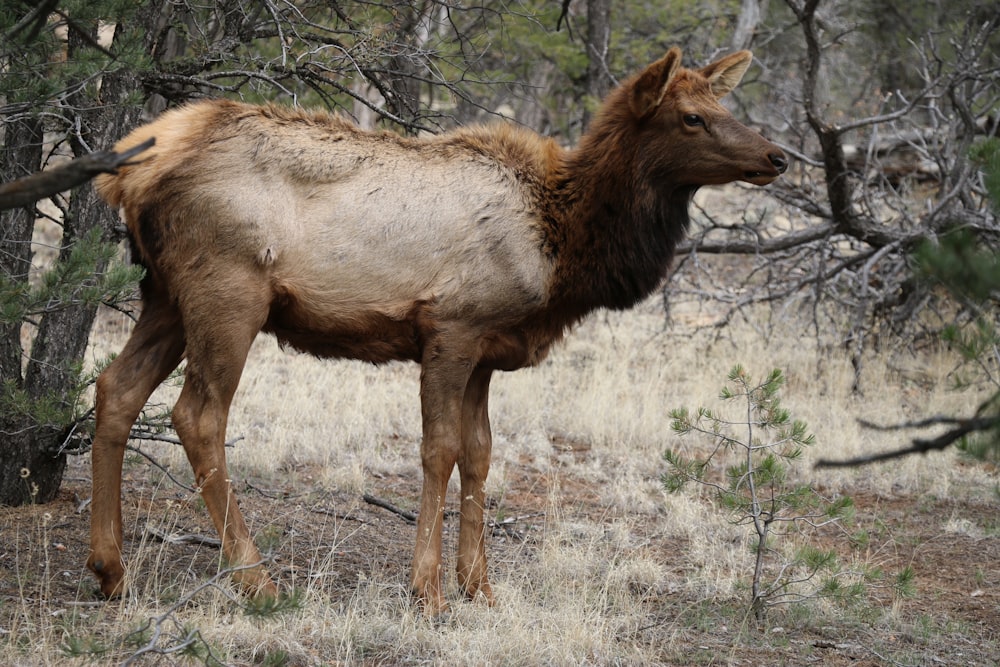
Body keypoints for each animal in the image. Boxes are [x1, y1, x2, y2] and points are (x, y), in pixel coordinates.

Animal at [88, 47, 788, 612]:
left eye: (721, 103)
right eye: (691, 117)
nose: (776, 156)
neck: (563, 247)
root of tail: (128, 174)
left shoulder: (487, 350)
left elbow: (480, 455)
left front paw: (480, 586)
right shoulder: (451, 327)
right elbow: (439, 450)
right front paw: (428, 591)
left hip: (163, 296)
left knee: (115, 388)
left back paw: (110, 569)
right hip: (228, 292)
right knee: (198, 415)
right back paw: (255, 578)